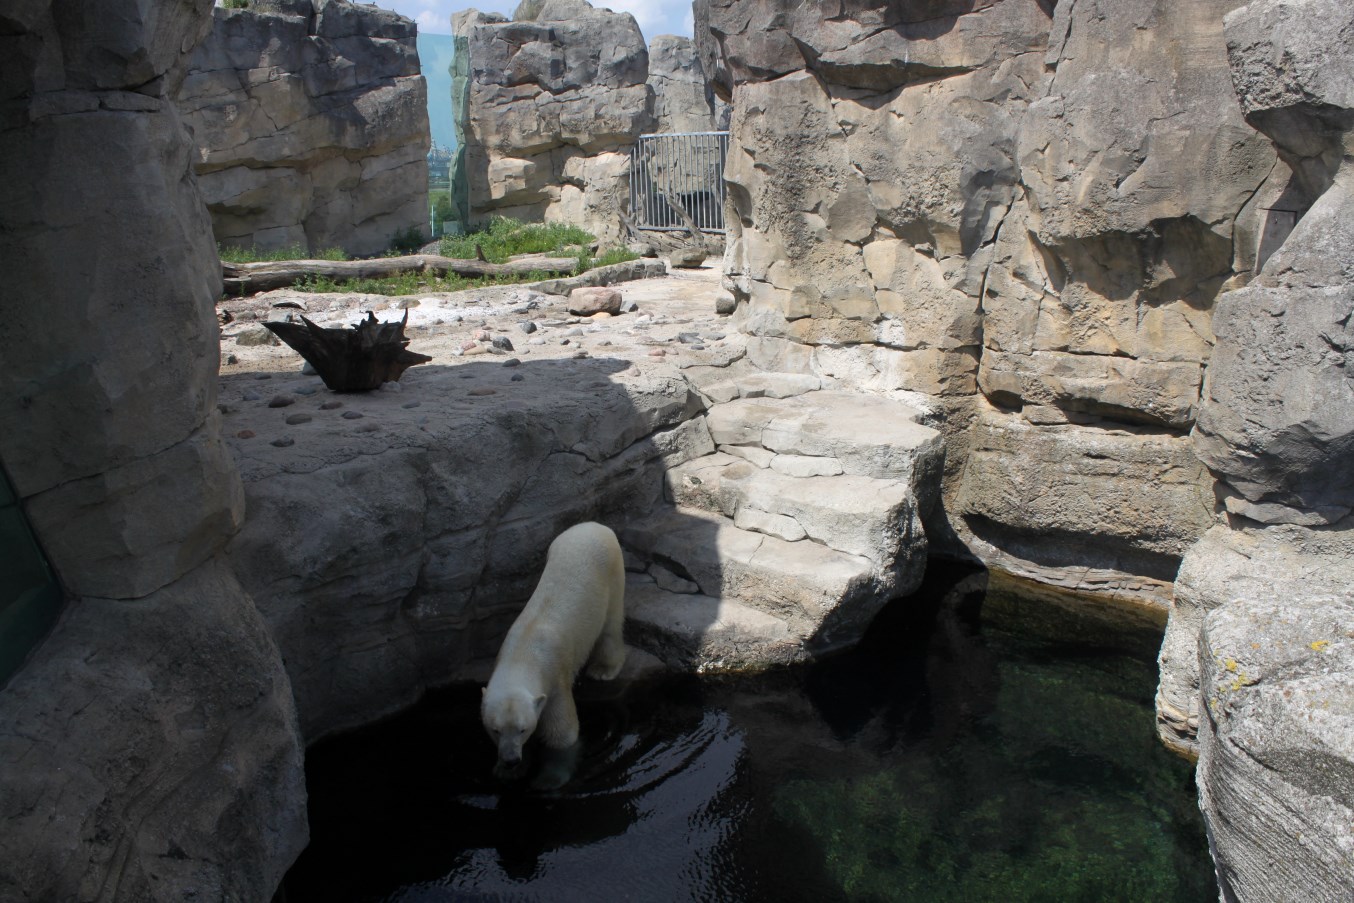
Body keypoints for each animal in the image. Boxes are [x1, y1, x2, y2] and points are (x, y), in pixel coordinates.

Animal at [481, 521, 627, 773]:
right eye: (495, 730)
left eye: (523, 729)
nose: (511, 759)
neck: (523, 654)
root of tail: (593, 525)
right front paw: (504, 770)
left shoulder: (555, 680)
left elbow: (562, 736)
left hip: (612, 573)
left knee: (611, 626)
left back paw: (603, 669)